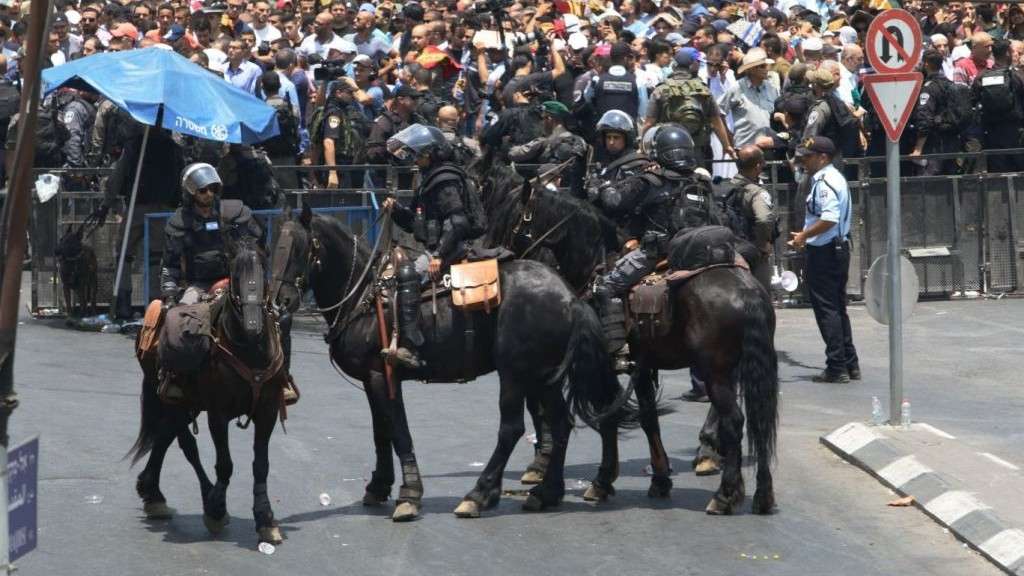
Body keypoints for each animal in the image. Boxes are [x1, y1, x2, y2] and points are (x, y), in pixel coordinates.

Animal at [128, 234, 290, 541]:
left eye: (263, 269)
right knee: (184, 443)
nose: (253, 325)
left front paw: (265, 518)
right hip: (172, 398)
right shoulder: (218, 413)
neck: (249, 350)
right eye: (236, 273)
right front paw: (216, 509)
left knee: (164, 436)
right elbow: (225, 463)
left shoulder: (268, 410)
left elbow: (261, 465)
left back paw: (152, 492)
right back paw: (198, 496)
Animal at [272, 202, 638, 520]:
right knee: (561, 423)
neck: (366, 295)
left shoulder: (383, 376)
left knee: (512, 428)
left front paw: (409, 495)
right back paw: (546, 493)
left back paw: (479, 494)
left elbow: (398, 431)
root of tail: (570, 298)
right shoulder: (370, 380)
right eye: (275, 248)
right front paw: (379, 486)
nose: (280, 303)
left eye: (301, 249)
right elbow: (381, 432)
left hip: (516, 374)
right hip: (543, 377)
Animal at [479, 165, 774, 510]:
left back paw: (725, 492)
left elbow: (610, 417)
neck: (595, 262)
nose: (488, 255)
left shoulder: (604, 364)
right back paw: (759, 493)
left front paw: (602, 481)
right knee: (757, 417)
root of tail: (746, 290)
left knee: (735, 420)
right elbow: (648, 418)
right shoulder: (643, 365)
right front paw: (659, 479)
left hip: (715, 371)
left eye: (508, 219)